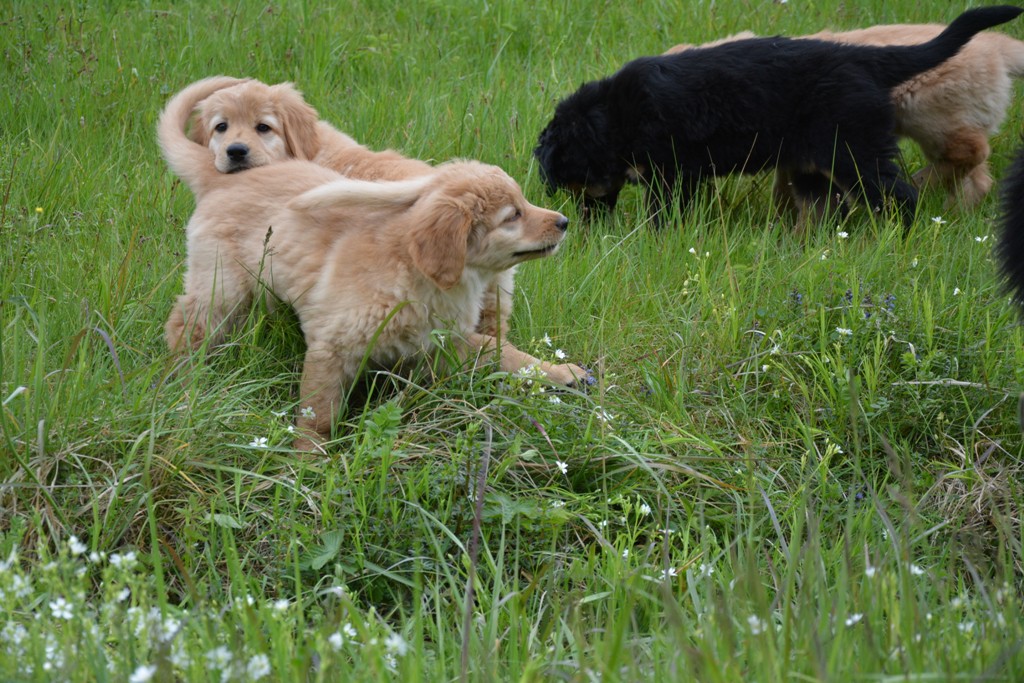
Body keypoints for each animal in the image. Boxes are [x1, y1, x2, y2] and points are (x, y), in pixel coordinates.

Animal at [668, 24, 1024, 211]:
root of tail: (995, 44)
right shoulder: (799, 150)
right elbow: (789, 188)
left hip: (927, 112)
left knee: (970, 152)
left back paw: (922, 185)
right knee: (978, 178)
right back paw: (952, 208)